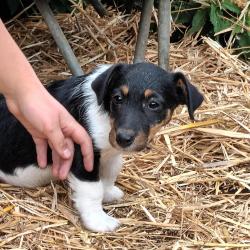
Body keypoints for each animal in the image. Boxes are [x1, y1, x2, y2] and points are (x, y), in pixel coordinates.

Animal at [0, 62, 203, 232]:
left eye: (153, 104)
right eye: (117, 98)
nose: (123, 139)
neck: (106, 119)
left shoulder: (110, 155)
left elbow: (108, 176)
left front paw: (109, 193)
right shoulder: (82, 155)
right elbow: (92, 191)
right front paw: (98, 221)